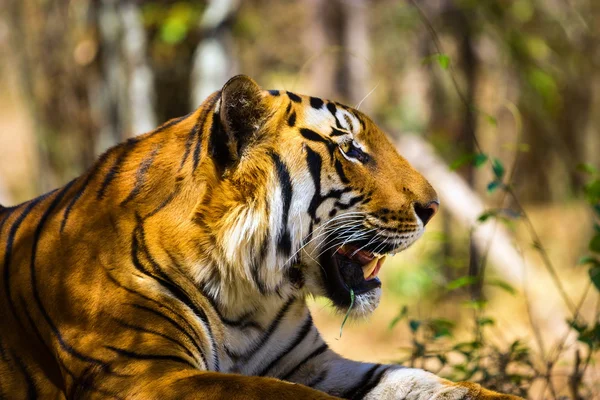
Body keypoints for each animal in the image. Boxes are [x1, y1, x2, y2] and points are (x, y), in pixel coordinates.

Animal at [0, 74, 520, 396]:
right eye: (350, 149)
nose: (433, 207)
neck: (246, 295)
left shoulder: (314, 363)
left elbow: (434, 382)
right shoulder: (139, 371)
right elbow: (280, 395)